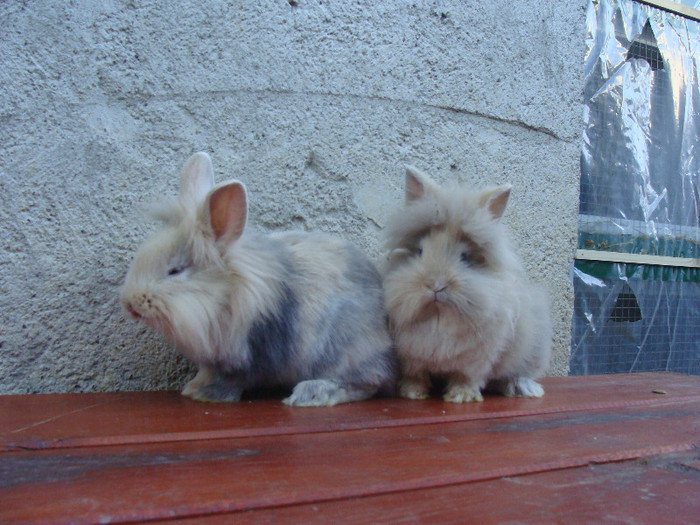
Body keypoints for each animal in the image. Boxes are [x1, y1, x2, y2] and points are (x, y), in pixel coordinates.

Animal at [120, 151, 394, 406]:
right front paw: (193, 387)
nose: (130, 305)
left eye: (175, 271)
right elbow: (206, 372)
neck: (226, 297)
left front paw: (206, 395)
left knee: (368, 381)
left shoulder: (251, 353)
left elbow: (233, 380)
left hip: (344, 351)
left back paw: (312, 393)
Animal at [382, 166, 552, 404]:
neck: (438, 319)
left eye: (465, 257)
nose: (436, 285)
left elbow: (466, 377)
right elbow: (415, 375)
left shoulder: (477, 360)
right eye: (420, 251)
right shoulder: (411, 358)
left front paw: (460, 397)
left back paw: (524, 388)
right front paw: (412, 394)